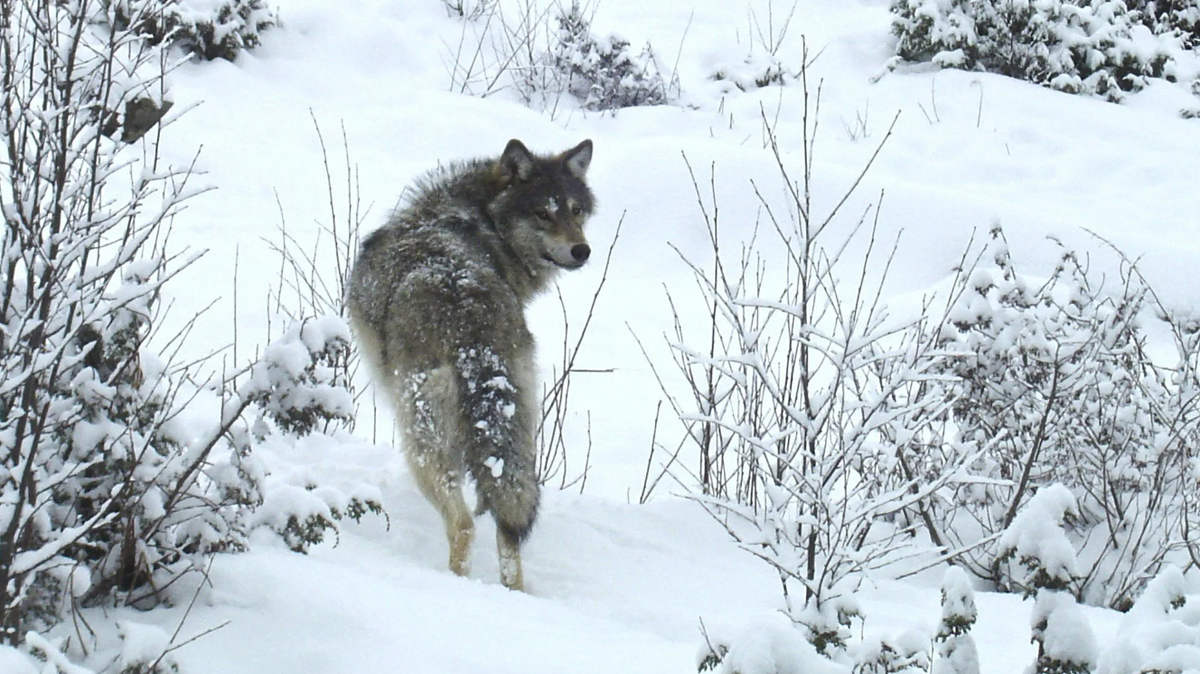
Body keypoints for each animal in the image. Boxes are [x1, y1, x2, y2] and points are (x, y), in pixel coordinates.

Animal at [345, 137, 592, 587]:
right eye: (543, 212)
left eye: (575, 209)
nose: (581, 250)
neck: (476, 216)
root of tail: (471, 319)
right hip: (521, 427)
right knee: (508, 526)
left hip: (422, 443)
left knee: (462, 525)